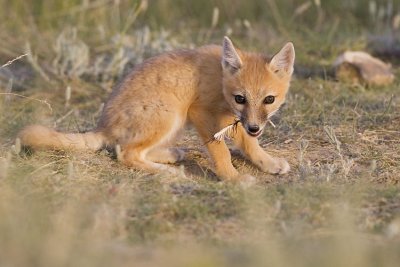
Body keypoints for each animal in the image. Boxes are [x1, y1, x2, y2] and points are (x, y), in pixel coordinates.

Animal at [18, 37, 294, 183]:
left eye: (269, 99)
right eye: (240, 98)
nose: (256, 127)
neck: (220, 77)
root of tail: (103, 126)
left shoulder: (230, 120)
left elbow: (249, 145)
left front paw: (268, 163)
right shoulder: (202, 114)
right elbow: (222, 152)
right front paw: (233, 178)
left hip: (173, 123)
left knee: (134, 150)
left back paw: (171, 155)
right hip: (170, 114)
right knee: (126, 154)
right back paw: (167, 172)